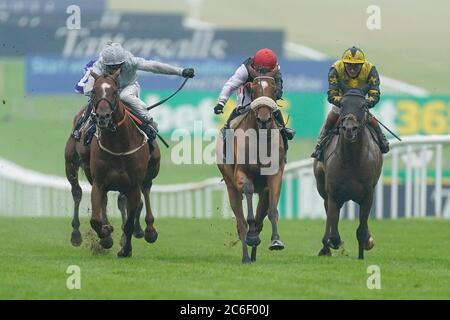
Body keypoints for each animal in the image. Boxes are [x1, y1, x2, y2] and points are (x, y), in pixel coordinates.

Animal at [64, 68, 160, 258]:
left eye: (115, 92)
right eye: (94, 91)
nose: (103, 116)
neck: (118, 144)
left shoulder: (132, 184)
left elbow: (130, 217)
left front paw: (126, 248)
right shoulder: (99, 182)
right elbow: (95, 219)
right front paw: (106, 236)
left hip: (150, 170)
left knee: (144, 190)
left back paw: (148, 230)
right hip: (71, 164)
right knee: (78, 192)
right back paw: (78, 233)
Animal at [217, 66, 284, 264]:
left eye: (274, 89)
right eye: (253, 89)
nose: (264, 119)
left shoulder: (275, 175)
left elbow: (272, 210)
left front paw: (276, 241)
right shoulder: (241, 174)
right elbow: (247, 192)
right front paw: (252, 235)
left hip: (263, 191)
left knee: (262, 216)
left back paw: (253, 255)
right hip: (230, 185)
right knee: (240, 222)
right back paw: (247, 255)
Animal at [312, 89, 384, 258]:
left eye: (363, 106)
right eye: (343, 105)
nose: (349, 129)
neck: (352, 160)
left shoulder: (368, 194)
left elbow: (362, 229)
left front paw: (365, 246)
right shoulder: (333, 193)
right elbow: (334, 230)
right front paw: (332, 243)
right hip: (322, 187)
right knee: (328, 213)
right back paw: (325, 248)